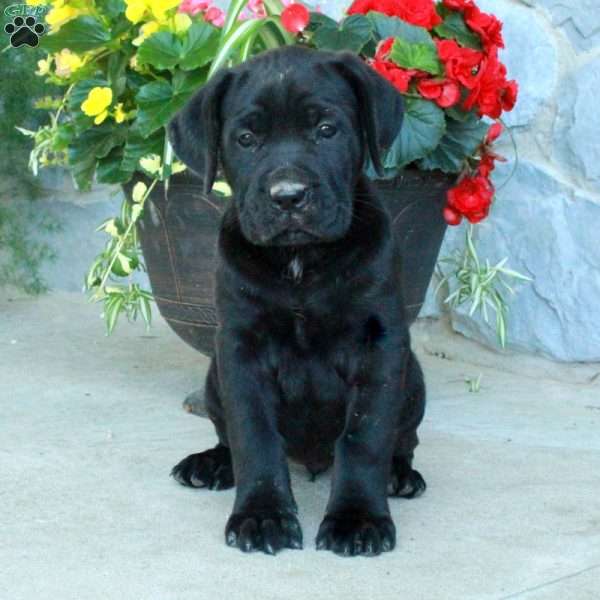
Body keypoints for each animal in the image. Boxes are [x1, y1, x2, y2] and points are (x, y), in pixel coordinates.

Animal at [169, 44, 426, 556]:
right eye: (246, 138)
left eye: (326, 130)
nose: (288, 197)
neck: (300, 262)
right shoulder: (240, 349)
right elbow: (253, 434)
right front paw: (262, 515)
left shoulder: (381, 346)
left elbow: (364, 436)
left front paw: (357, 519)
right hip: (214, 375)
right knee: (227, 435)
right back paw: (210, 463)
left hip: (414, 379)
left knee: (402, 440)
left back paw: (399, 475)